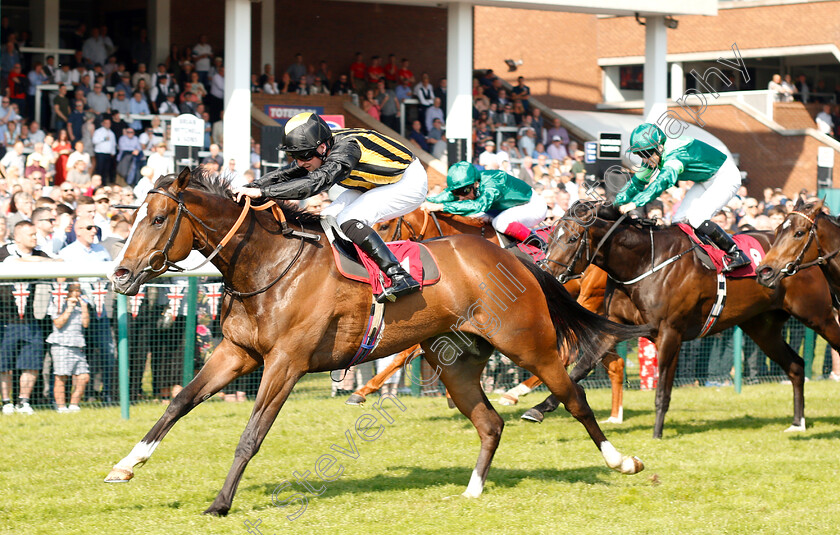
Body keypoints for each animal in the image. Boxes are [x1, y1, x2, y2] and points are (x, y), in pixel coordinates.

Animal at [101, 171, 648, 516]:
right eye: (132, 217)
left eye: (156, 220)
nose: (120, 276)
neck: (269, 265)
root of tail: (512, 259)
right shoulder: (237, 353)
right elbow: (179, 402)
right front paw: (126, 465)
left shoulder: (285, 363)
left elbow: (251, 434)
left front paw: (220, 503)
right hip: (456, 363)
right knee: (490, 422)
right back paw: (472, 490)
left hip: (528, 341)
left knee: (573, 396)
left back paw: (621, 460)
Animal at [524, 201, 840, 440]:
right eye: (549, 238)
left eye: (571, 238)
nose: (544, 274)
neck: (645, 262)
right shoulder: (614, 326)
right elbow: (580, 366)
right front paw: (538, 408)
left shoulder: (669, 332)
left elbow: (662, 389)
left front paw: (657, 433)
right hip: (762, 328)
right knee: (796, 366)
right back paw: (797, 423)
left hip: (819, 316)